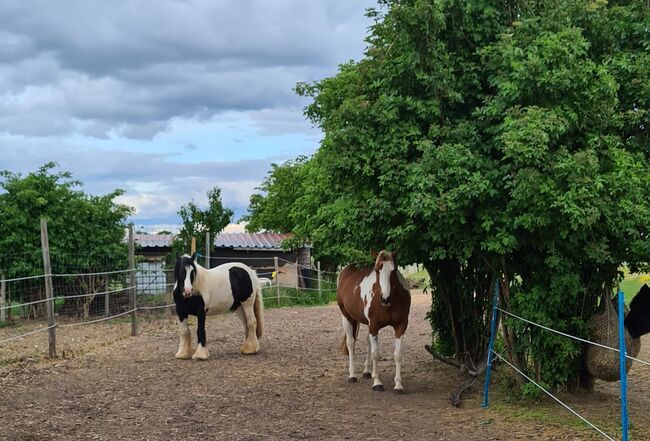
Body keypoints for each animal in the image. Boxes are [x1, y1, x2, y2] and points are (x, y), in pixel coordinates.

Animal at [334, 249, 410, 390]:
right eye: (377, 270)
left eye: (393, 270)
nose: (385, 298)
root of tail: (346, 270)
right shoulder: (374, 325)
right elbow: (375, 353)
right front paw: (377, 383)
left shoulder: (400, 325)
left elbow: (398, 354)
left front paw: (398, 384)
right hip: (346, 316)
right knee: (351, 343)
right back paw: (352, 375)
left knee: (367, 341)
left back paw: (367, 372)